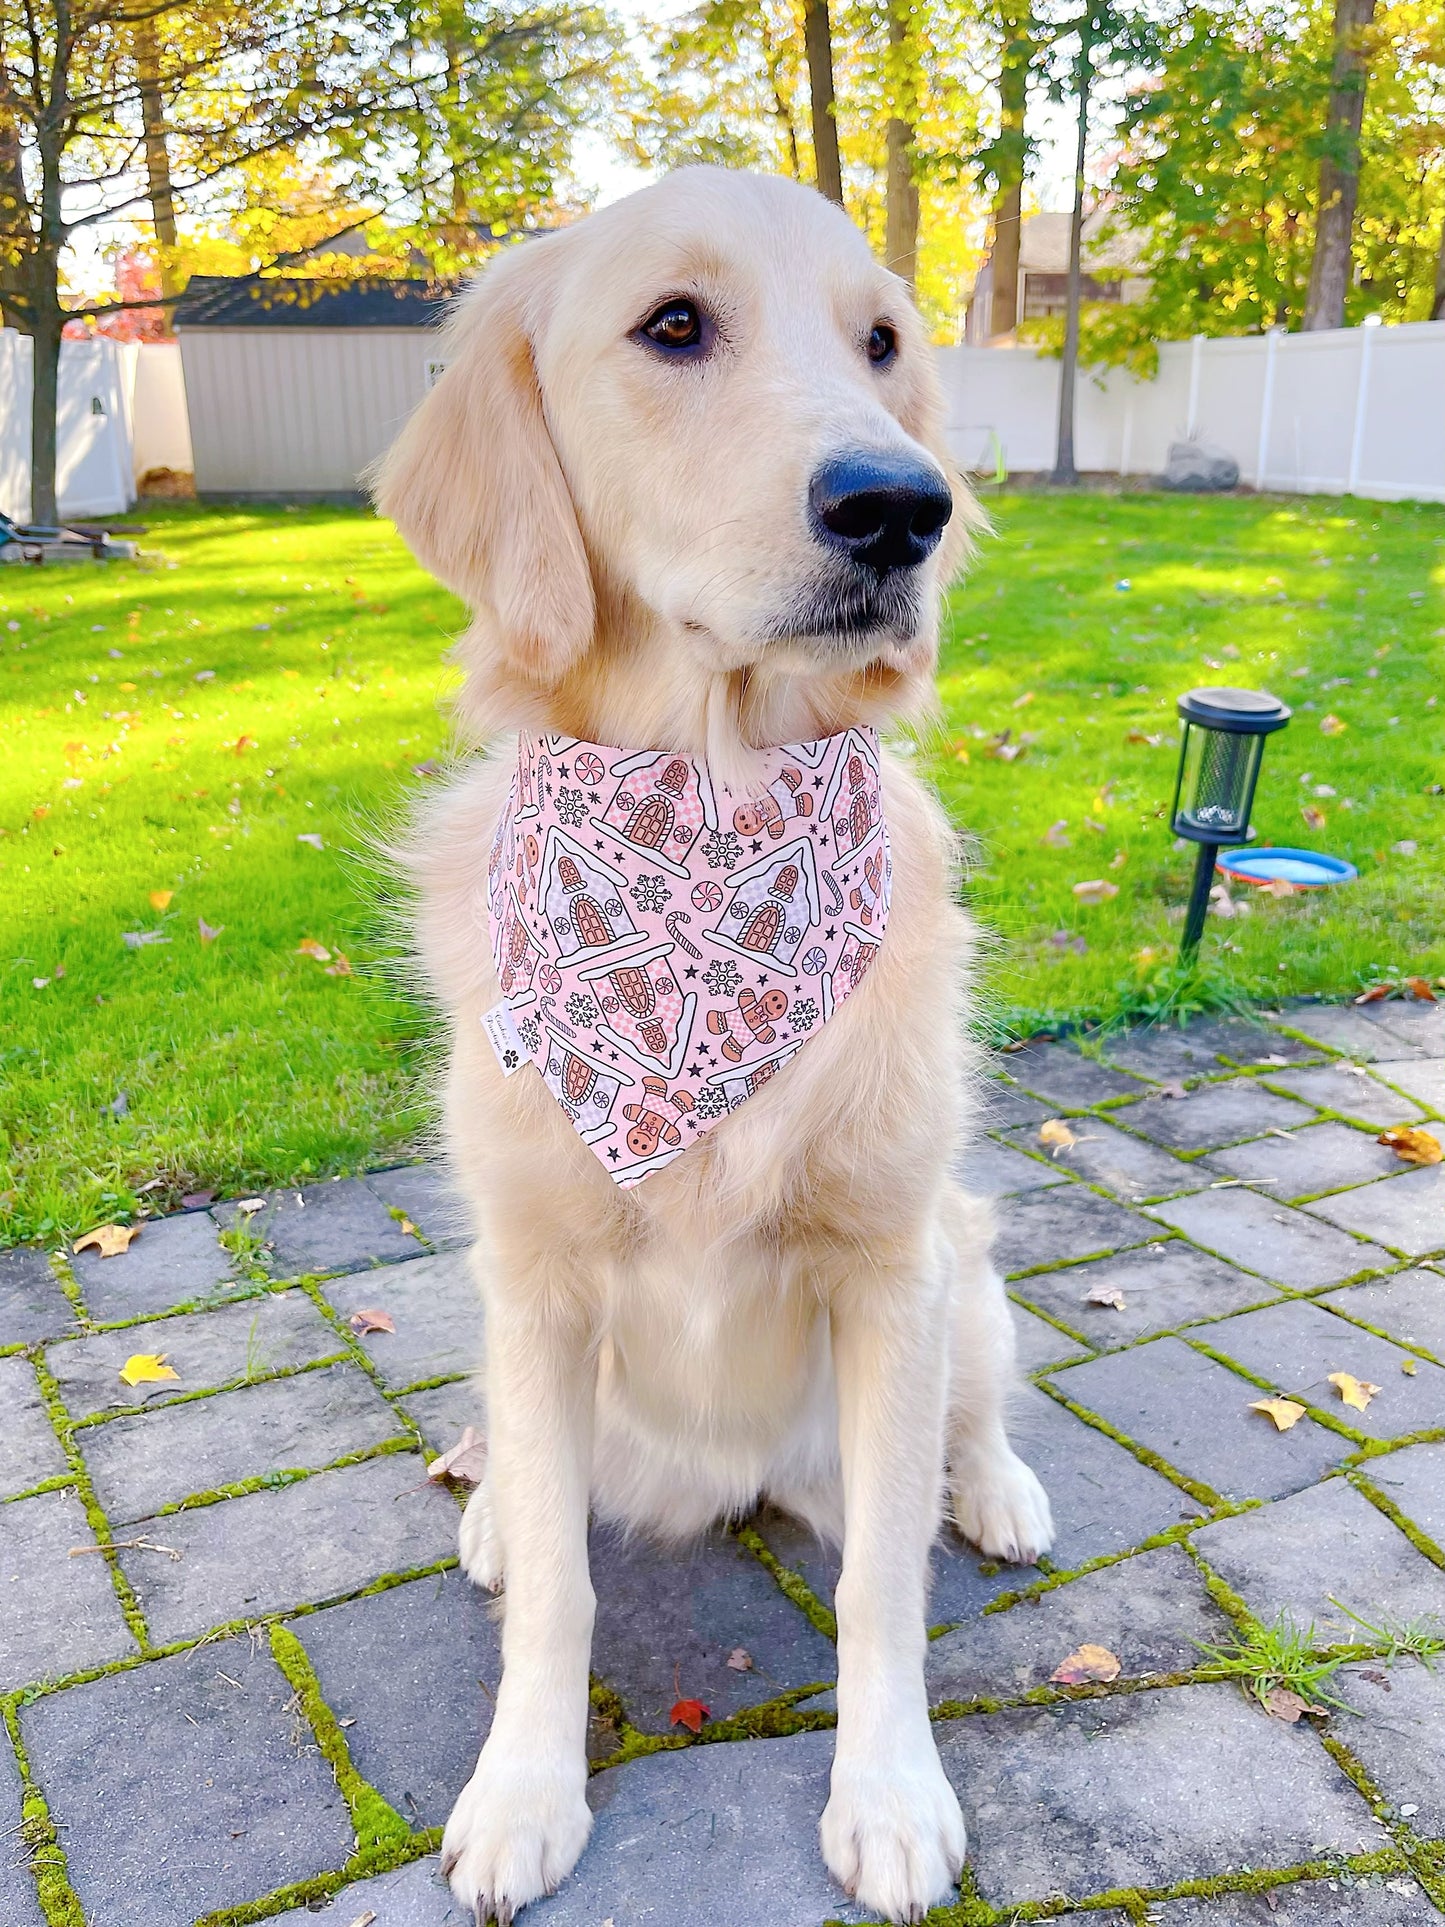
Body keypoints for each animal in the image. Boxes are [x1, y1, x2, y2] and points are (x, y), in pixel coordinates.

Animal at [373, 169, 1055, 1927]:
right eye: (672, 325)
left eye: (882, 343)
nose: (901, 509)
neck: (709, 814)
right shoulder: (534, 1275)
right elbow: (557, 1589)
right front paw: (523, 1790)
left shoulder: (889, 1268)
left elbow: (884, 1579)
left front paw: (888, 1793)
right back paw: (490, 1495)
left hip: (963, 1260)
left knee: (974, 1410)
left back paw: (998, 1486)